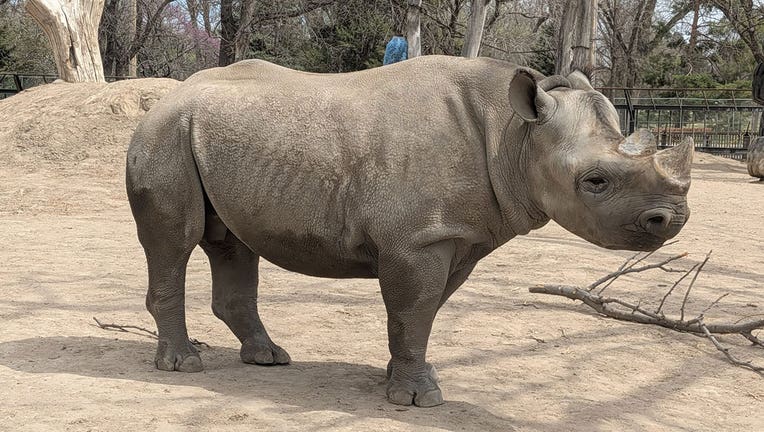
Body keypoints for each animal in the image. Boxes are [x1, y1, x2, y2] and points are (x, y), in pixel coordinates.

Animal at [126, 55, 692, 407]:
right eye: (595, 182)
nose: (673, 219)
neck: (514, 134)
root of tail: (163, 101)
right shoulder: (419, 238)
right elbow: (414, 308)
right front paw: (419, 399)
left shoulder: (459, 236)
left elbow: (423, 311)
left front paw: (401, 377)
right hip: (164, 135)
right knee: (175, 241)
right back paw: (183, 366)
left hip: (211, 138)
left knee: (232, 243)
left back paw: (268, 359)